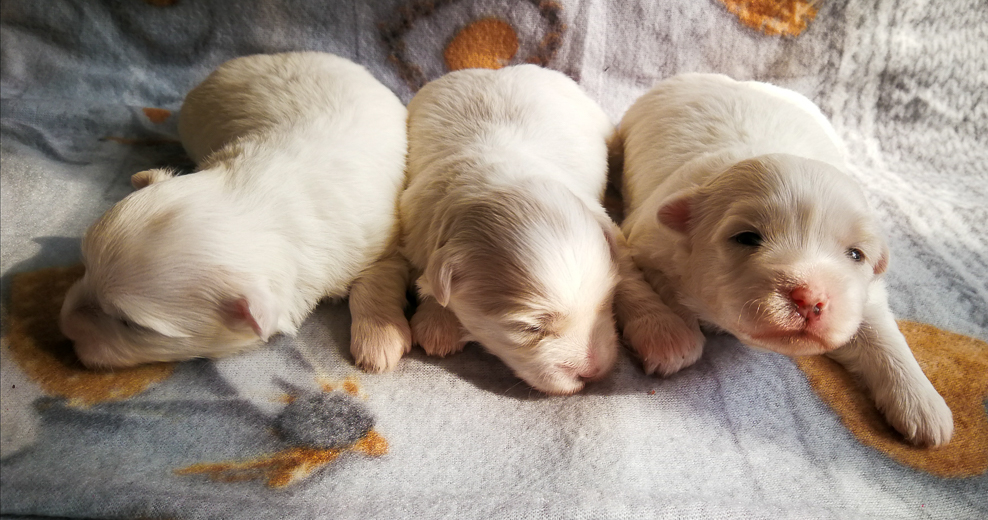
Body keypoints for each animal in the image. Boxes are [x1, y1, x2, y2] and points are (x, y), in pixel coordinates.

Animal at [60, 52, 410, 368]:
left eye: (131, 325)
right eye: (85, 267)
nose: (64, 327)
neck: (260, 194)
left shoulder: (383, 240)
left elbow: (375, 282)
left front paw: (379, 344)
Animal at [352, 65, 620, 394]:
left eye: (607, 299)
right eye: (531, 328)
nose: (592, 373)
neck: (499, 179)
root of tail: (494, 69)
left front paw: (438, 323)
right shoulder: (411, 228)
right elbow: (380, 275)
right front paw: (385, 337)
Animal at [612, 74, 952, 446]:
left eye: (855, 254)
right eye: (746, 237)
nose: (809, 298)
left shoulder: (866, 292)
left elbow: (881, 330)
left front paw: (923, 404)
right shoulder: (647, 239)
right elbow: (659, 283)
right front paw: (673, 338)